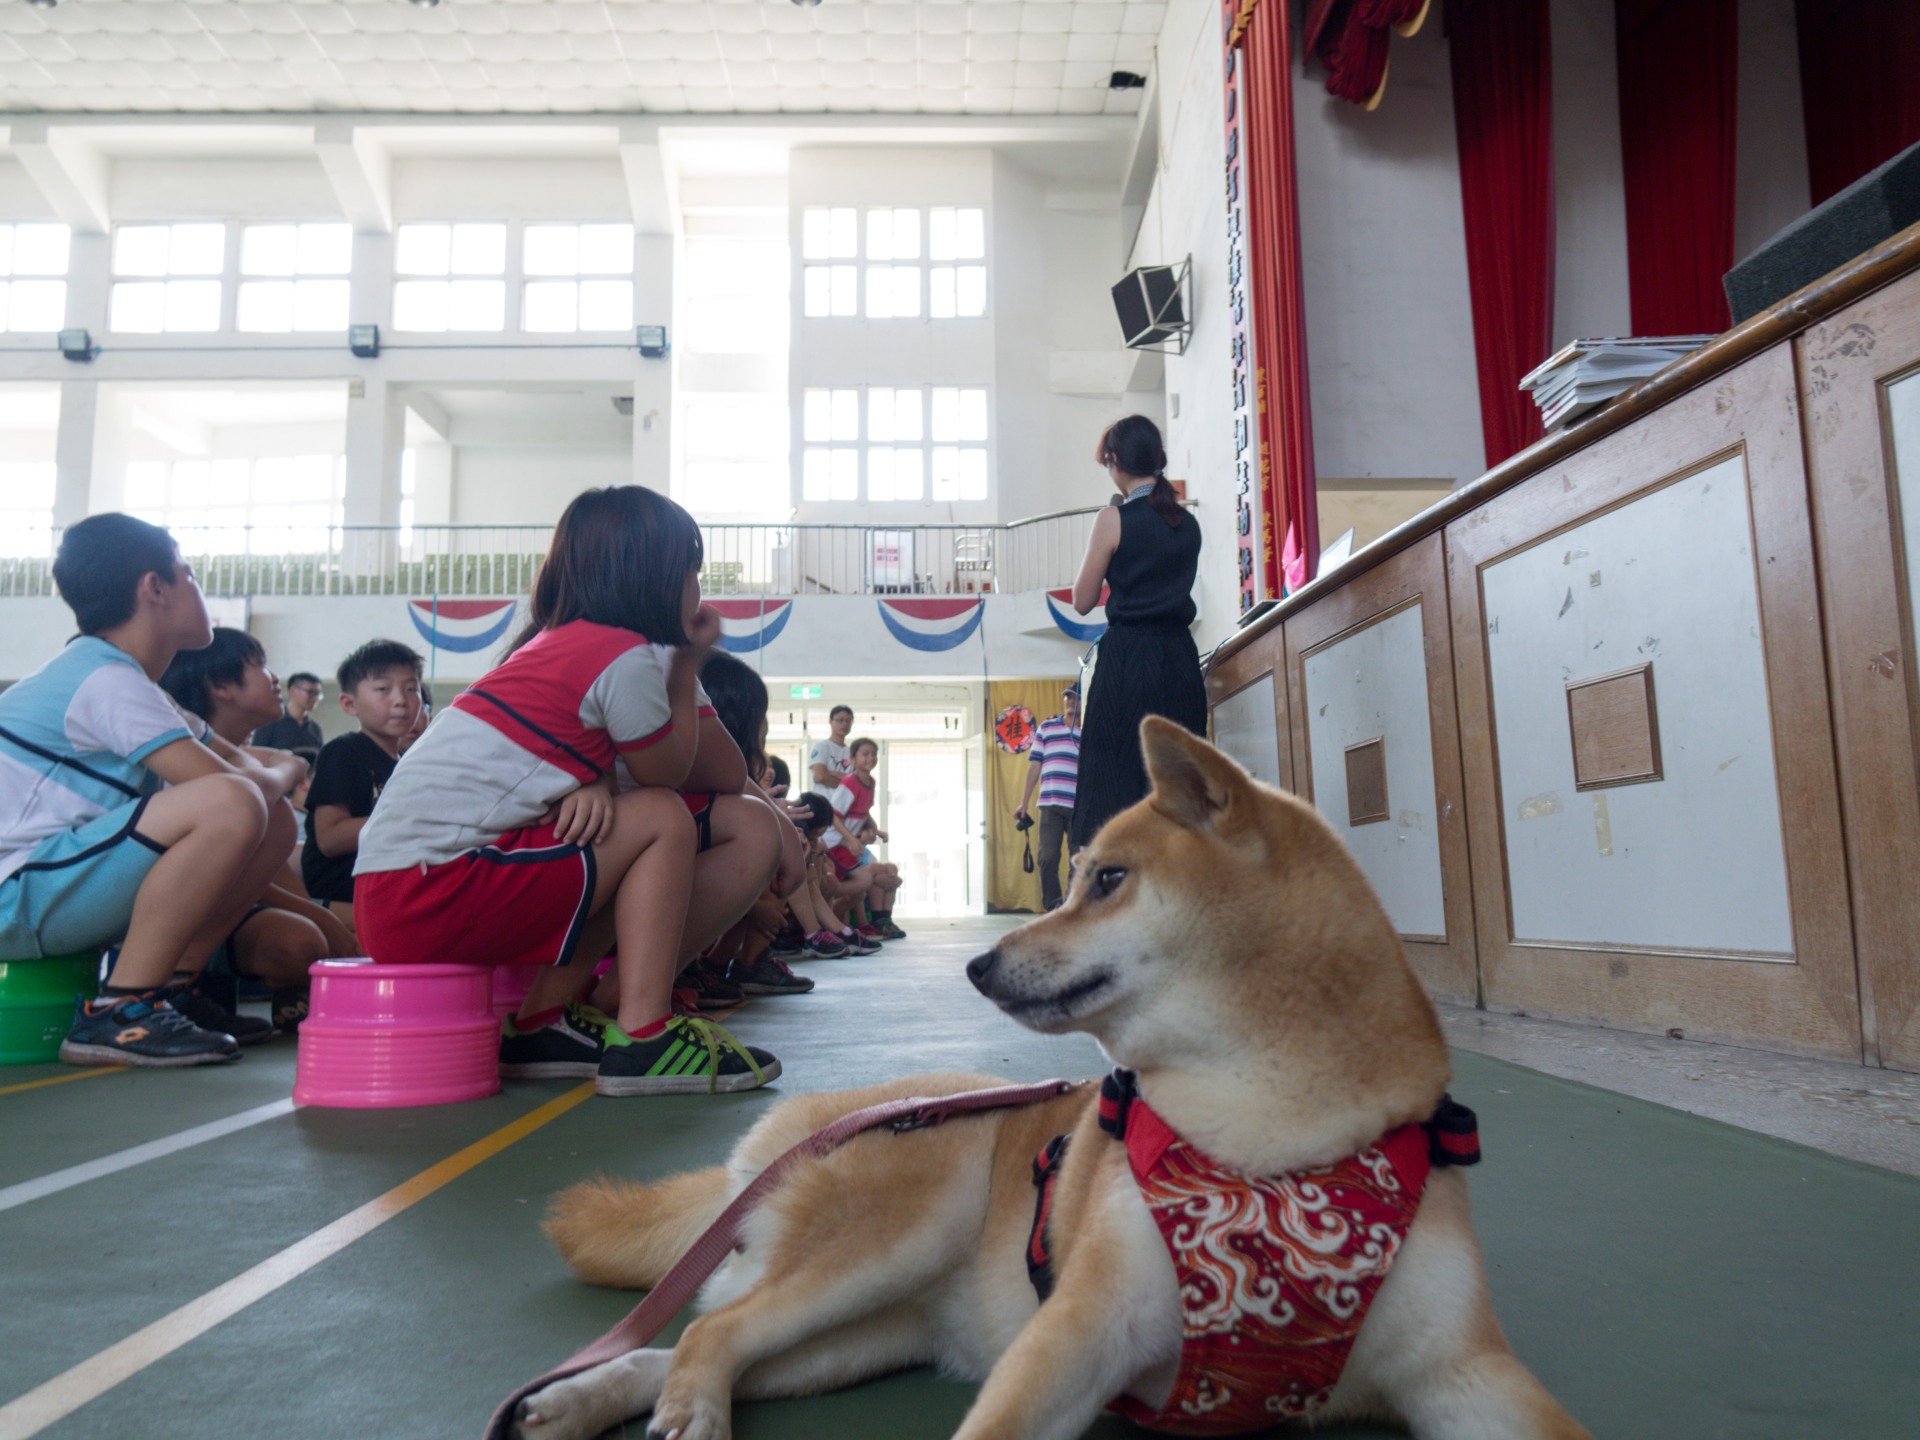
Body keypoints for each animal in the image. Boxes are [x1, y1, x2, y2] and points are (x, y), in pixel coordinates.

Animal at [510, 721, 1589, 1440]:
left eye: (1107, 880)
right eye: (1075, 877)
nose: (979, 965)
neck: (1272, 1143)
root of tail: (799, 1130)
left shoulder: (1464, 1369)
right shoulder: (1083, 1327)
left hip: (864, 1333)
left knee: (690, 1344)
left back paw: (573, 1403)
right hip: (886, 1243)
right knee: (711, 1335)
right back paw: (675, 1410)